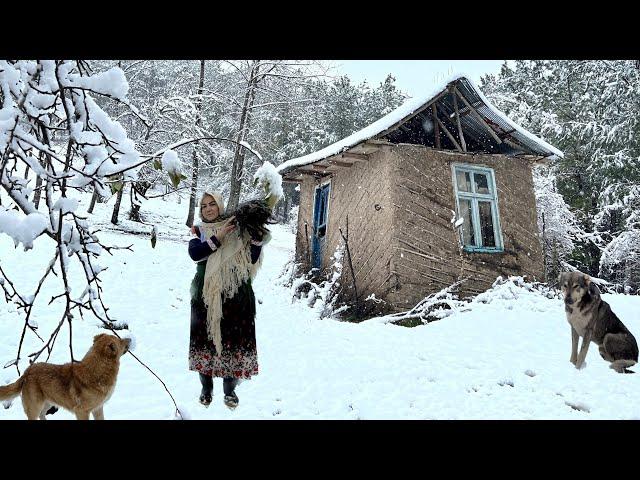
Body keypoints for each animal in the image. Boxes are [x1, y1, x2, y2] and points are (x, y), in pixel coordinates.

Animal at [0, 334, 130, 420]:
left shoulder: (98, 408)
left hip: (48, 401)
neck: (97, 371)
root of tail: (27, 371)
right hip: (34, 407)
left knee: (42, 414)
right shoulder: (82, 411)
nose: (130, 339)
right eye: (120, 340)